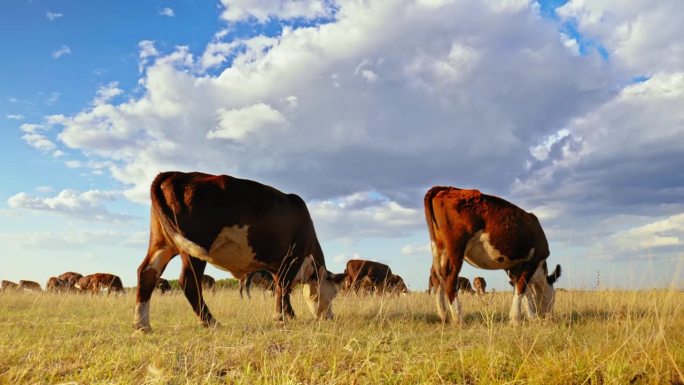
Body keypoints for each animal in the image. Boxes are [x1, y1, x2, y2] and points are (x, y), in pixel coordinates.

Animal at [134, 170, 348, 332]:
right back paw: (210, 322)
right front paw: (282, 317)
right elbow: (284, 287)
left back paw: (142, 325)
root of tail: (176, 174)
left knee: (147, 273)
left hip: (162, 244)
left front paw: (287, 314)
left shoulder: (277, 264)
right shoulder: (294, 255)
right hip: (194, 249)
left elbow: (280, 288)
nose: (330, 317)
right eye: (334, 293)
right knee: (189, 282)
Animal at [424, 185, 564, 320]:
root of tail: (445, 188)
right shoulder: (533, 259)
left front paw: (530, 316)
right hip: (456, 247)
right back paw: (458, 318)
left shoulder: (513, 267)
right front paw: (517, 318)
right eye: (554, 298)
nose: (548, 316)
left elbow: (524, 291)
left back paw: (444, 315)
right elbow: (521, 287)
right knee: (450, 276)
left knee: (437, 276)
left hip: (440, 247)